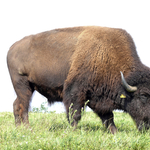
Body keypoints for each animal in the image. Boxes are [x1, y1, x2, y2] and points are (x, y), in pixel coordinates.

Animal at [7, 26, 150, 134]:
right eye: (144, 95)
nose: (148, 125)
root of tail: (12, 48)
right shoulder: (75, 92)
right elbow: (75, 114)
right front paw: (73, 131)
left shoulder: (98, 98)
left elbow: (108, 118)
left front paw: (115, 133)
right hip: (23, 85)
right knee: (24, 107)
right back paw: (27, 129)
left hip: (29, 88)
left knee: (16, 105)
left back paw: (18, 128)